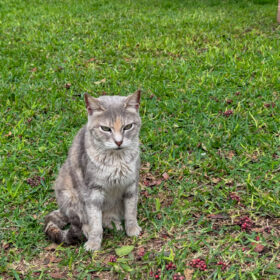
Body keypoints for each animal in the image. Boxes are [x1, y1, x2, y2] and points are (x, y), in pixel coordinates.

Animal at [45, 90, 142, 252]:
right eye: (106, 128)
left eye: (128, 126)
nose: (119, 142)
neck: (117, 160)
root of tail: (62, 209)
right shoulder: (93, 190)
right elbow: (95, 220)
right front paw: (94, 243)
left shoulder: (131, 184)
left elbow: (131, 211)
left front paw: (132, 229)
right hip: (69, 196)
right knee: (82, 220)